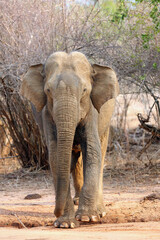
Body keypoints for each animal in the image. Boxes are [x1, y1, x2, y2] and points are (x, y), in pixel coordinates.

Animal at [20, 52, 119, 229]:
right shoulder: (47, 114)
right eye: (48, 90)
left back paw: (99, 212)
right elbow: (55, 157)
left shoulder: (92, 110)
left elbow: (92, 152)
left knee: (100, 153)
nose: (55, 212)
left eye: (85, 90)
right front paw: (65, 224)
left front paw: (87, 218)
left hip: (106, 120)